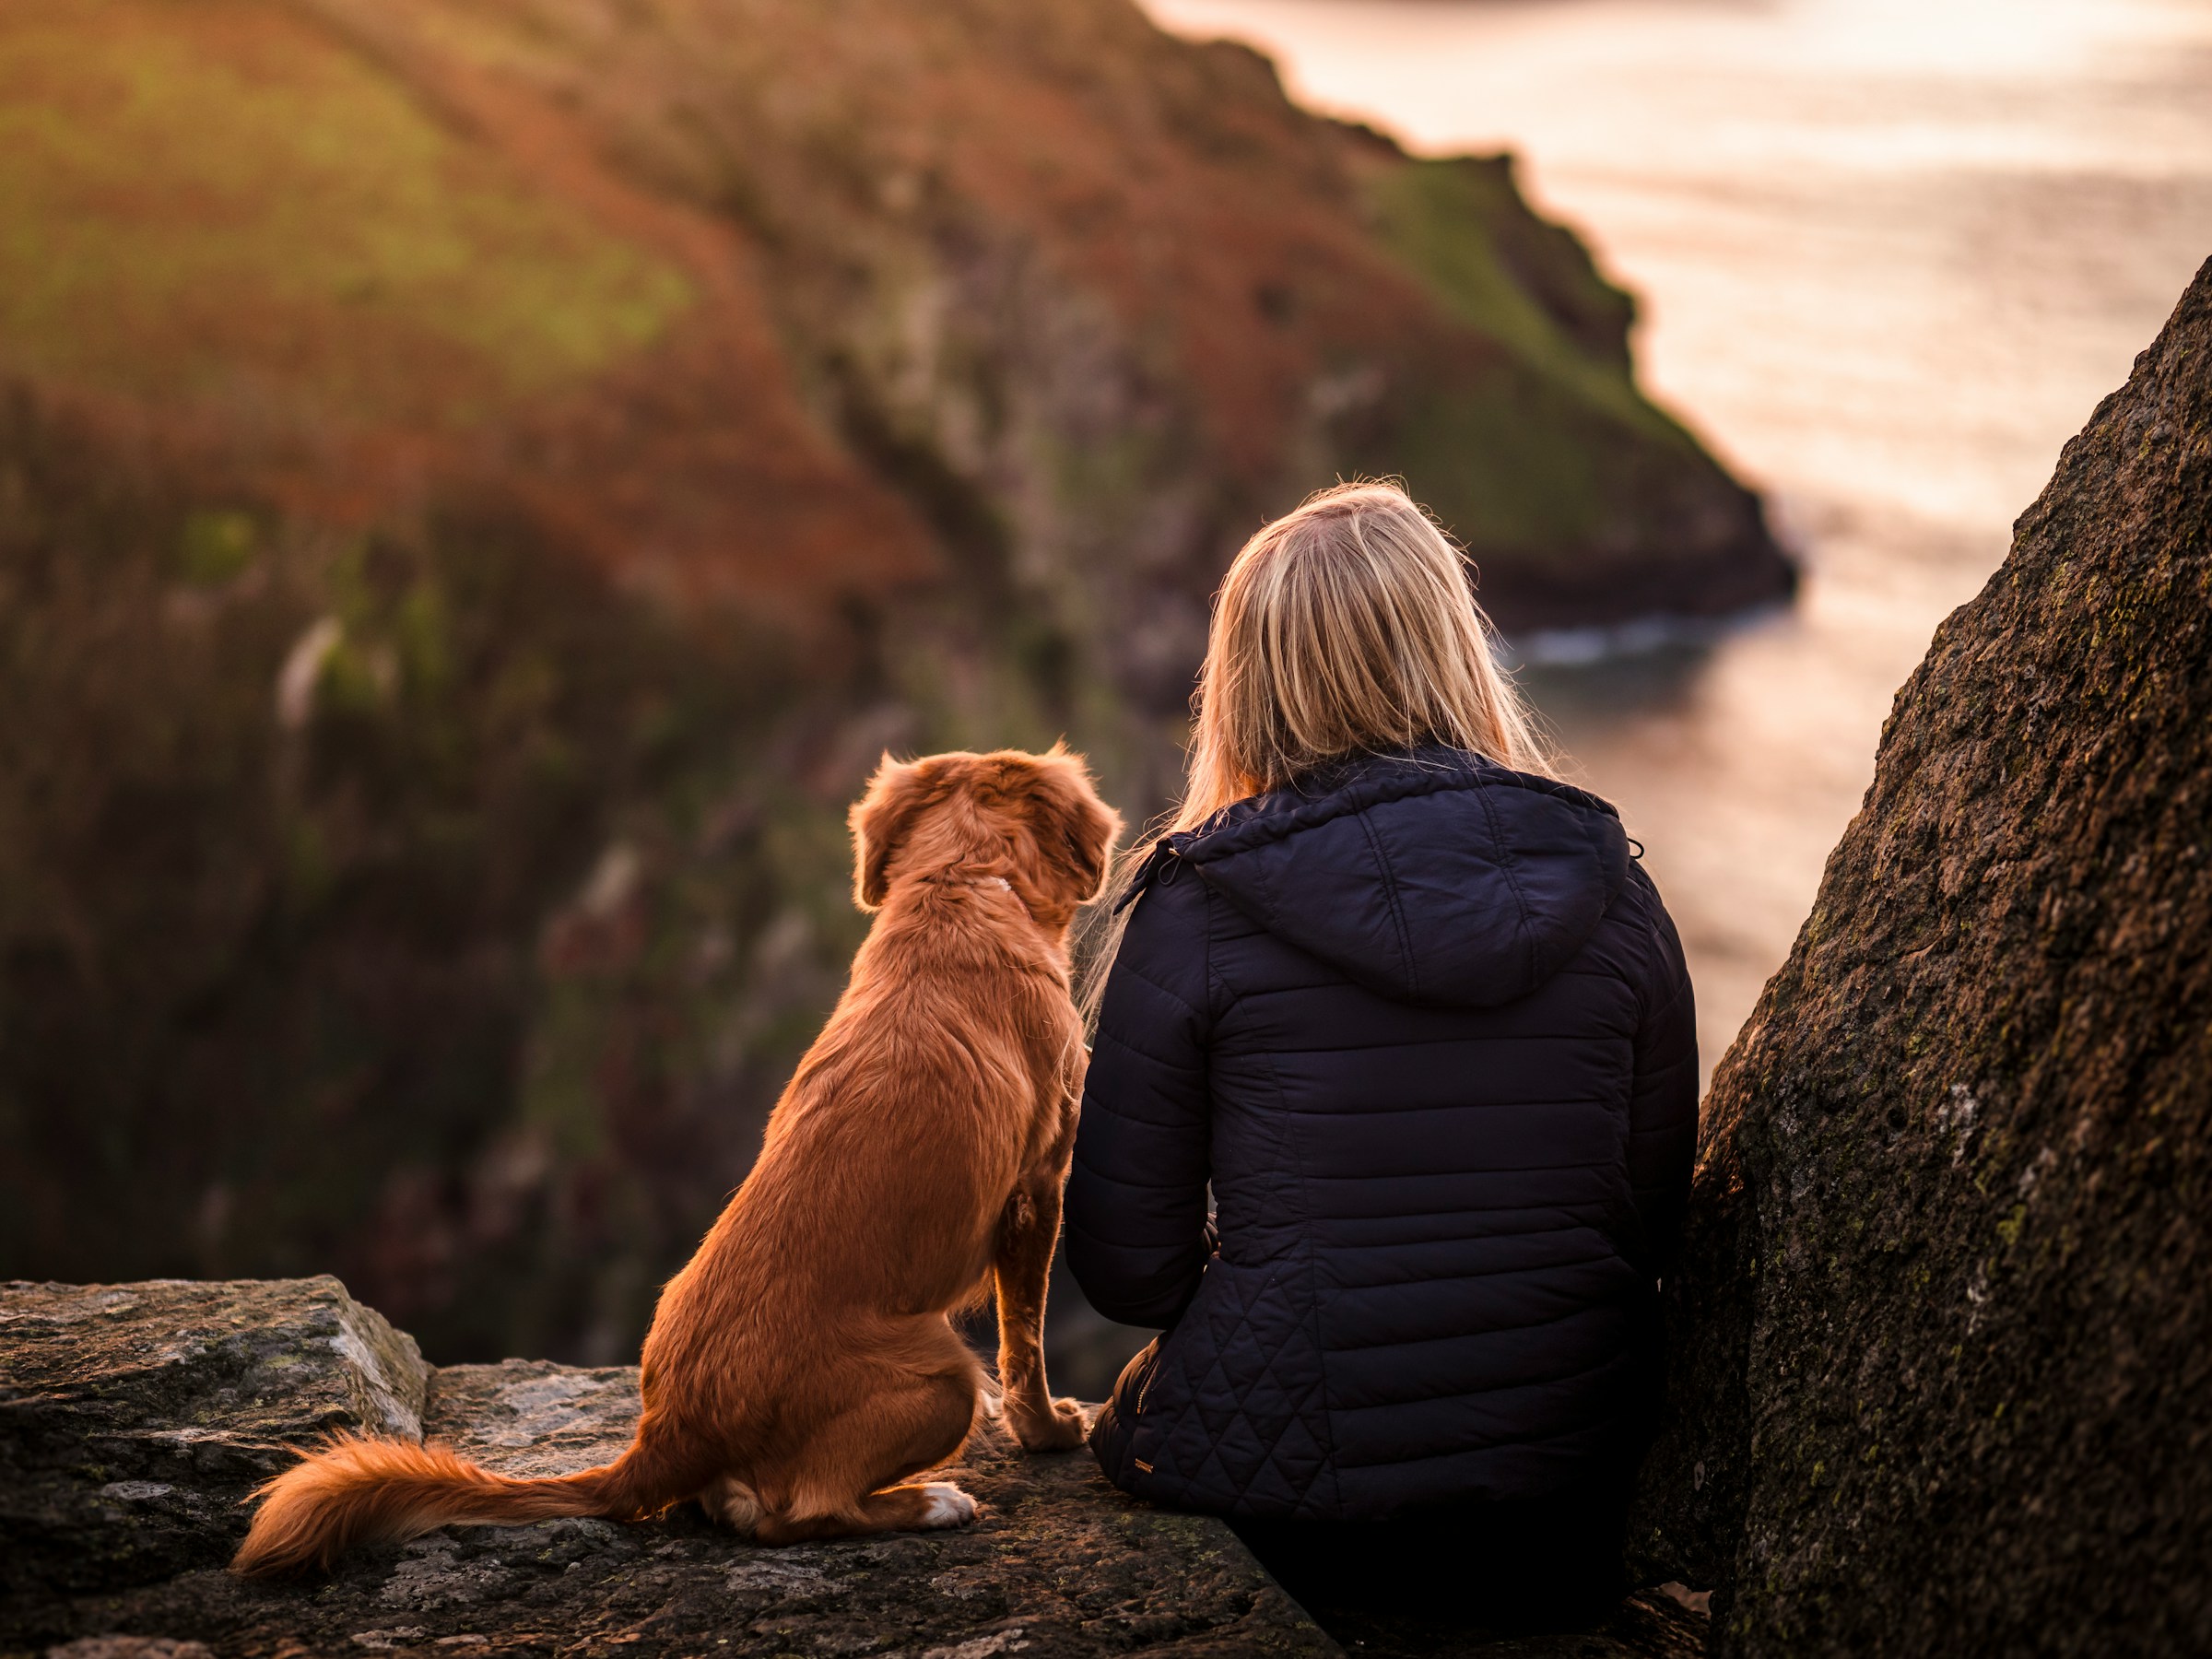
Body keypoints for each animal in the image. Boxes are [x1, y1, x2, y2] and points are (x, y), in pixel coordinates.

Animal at [233, 747, 1124, 1574]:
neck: (961, 885)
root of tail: (668, 1432)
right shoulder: (1039, 1188)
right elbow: (1025, 1340)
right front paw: (1049, 1431)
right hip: (941, 1374)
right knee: (801, 1512)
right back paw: (929, 1501)